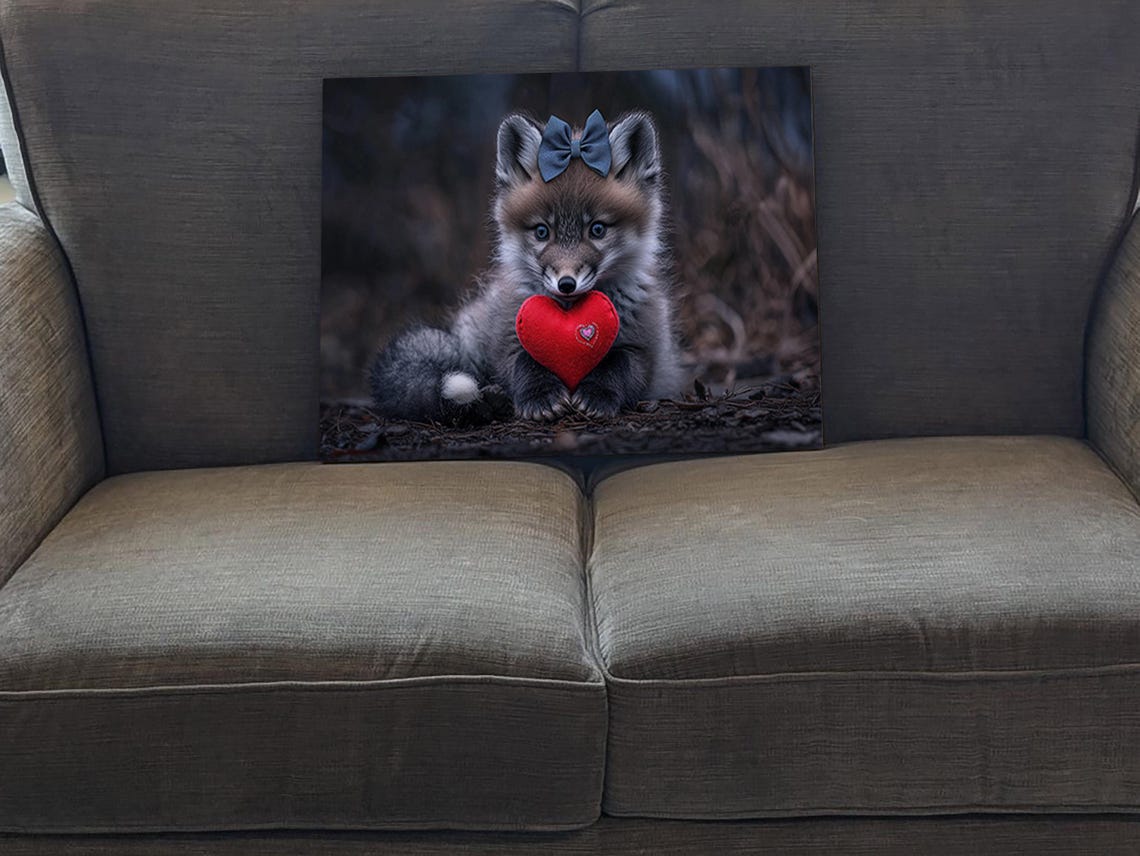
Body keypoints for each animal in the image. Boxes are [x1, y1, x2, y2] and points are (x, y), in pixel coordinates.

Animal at [370, 109, 683, 422]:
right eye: (542, 232)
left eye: (597, 229)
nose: (566, 284)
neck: (569, 310)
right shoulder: (508, 340)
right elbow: (524, 362)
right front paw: (540, 397)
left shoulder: (644, 350)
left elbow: (618, 365)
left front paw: (597, 395)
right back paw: (488, 401)